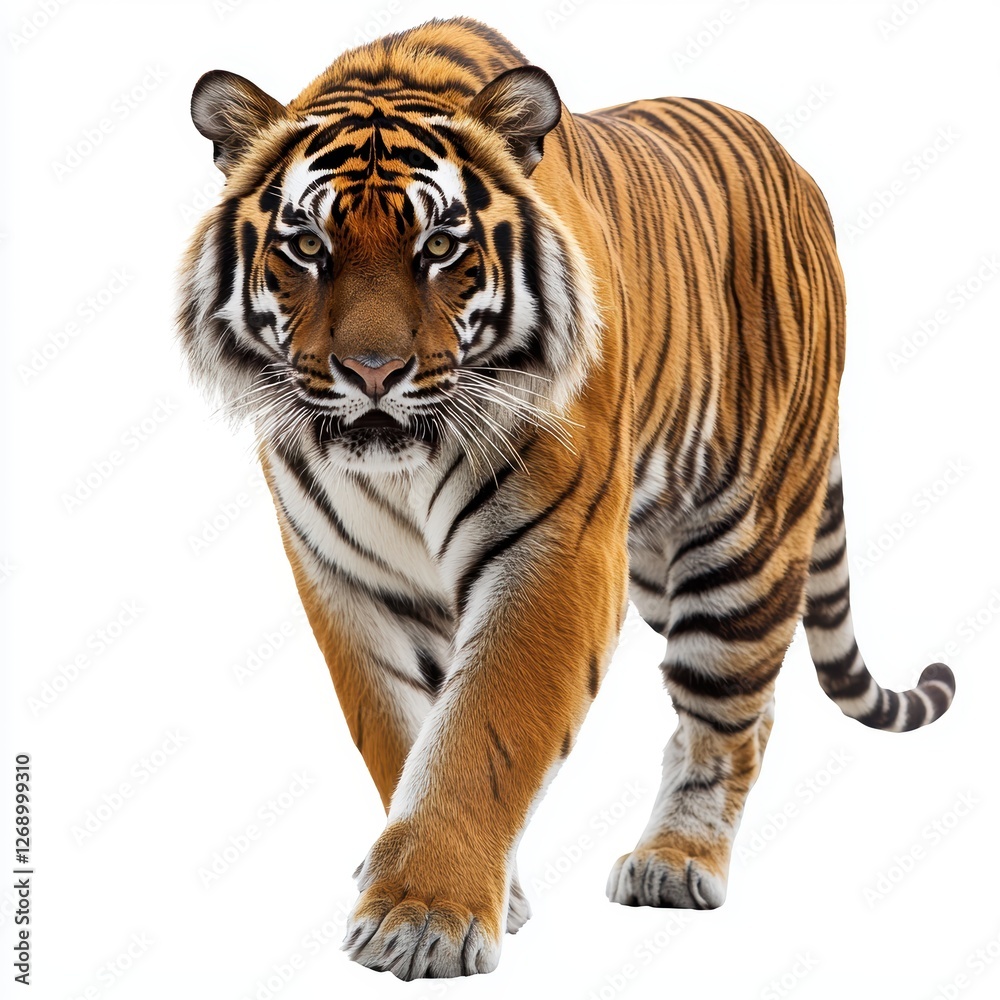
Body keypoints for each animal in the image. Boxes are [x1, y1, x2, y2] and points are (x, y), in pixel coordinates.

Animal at [177, 16, 956, 980]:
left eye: (440, 248)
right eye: (308, 248)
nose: (371, 372)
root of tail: (797, 168)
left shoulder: (554, 552)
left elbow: (481, 733)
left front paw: (421, 917)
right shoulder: (351, 577)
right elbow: (403, 735)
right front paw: (474, 889)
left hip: (744, 543)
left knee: (731, 711)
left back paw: (677, 861)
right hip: (654, 560)